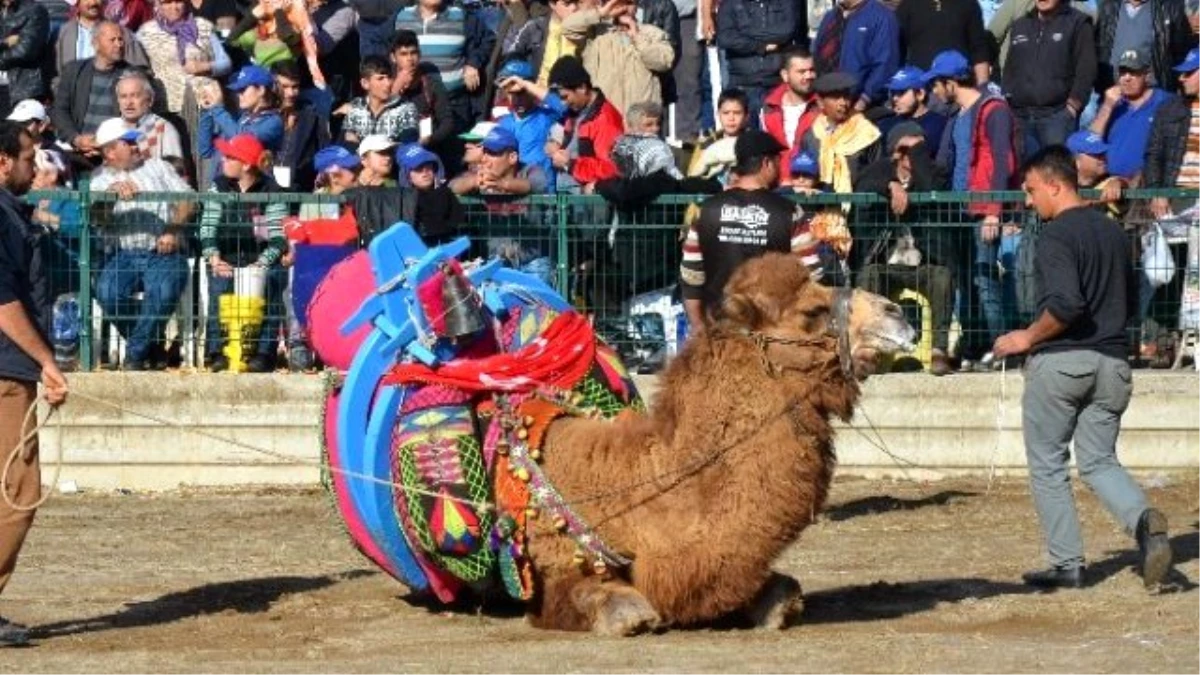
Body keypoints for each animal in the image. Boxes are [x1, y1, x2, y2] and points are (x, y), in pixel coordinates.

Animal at [520, 251, 912, 629]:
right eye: (811, 311)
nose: (897, 313)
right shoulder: (557, 565)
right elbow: (603, 600)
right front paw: (624, 612)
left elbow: (779, 591)